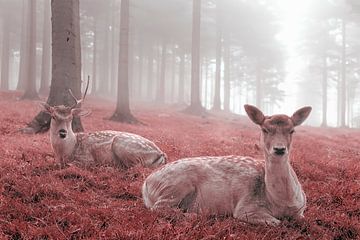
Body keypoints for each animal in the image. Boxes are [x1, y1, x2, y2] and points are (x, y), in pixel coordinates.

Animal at [142, 104, 310, 225]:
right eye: (264, 129)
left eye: (292, 130)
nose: (279, 149)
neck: (282, 201)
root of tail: (146, 184)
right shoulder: (246, 207)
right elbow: (276, 222)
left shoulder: (301, 211)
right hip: (175, 185)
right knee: (159, 207)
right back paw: (195, 215)